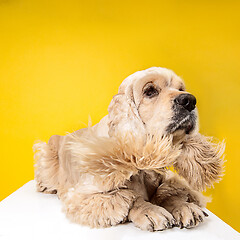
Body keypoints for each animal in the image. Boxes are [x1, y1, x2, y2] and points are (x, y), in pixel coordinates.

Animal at [32, 66, 224, 232]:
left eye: (181, 88)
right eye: (150, 91)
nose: (189, 100)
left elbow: (169, 190)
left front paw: (183, 206)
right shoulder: (83, 196)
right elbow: (127, 196)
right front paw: (149, 210)